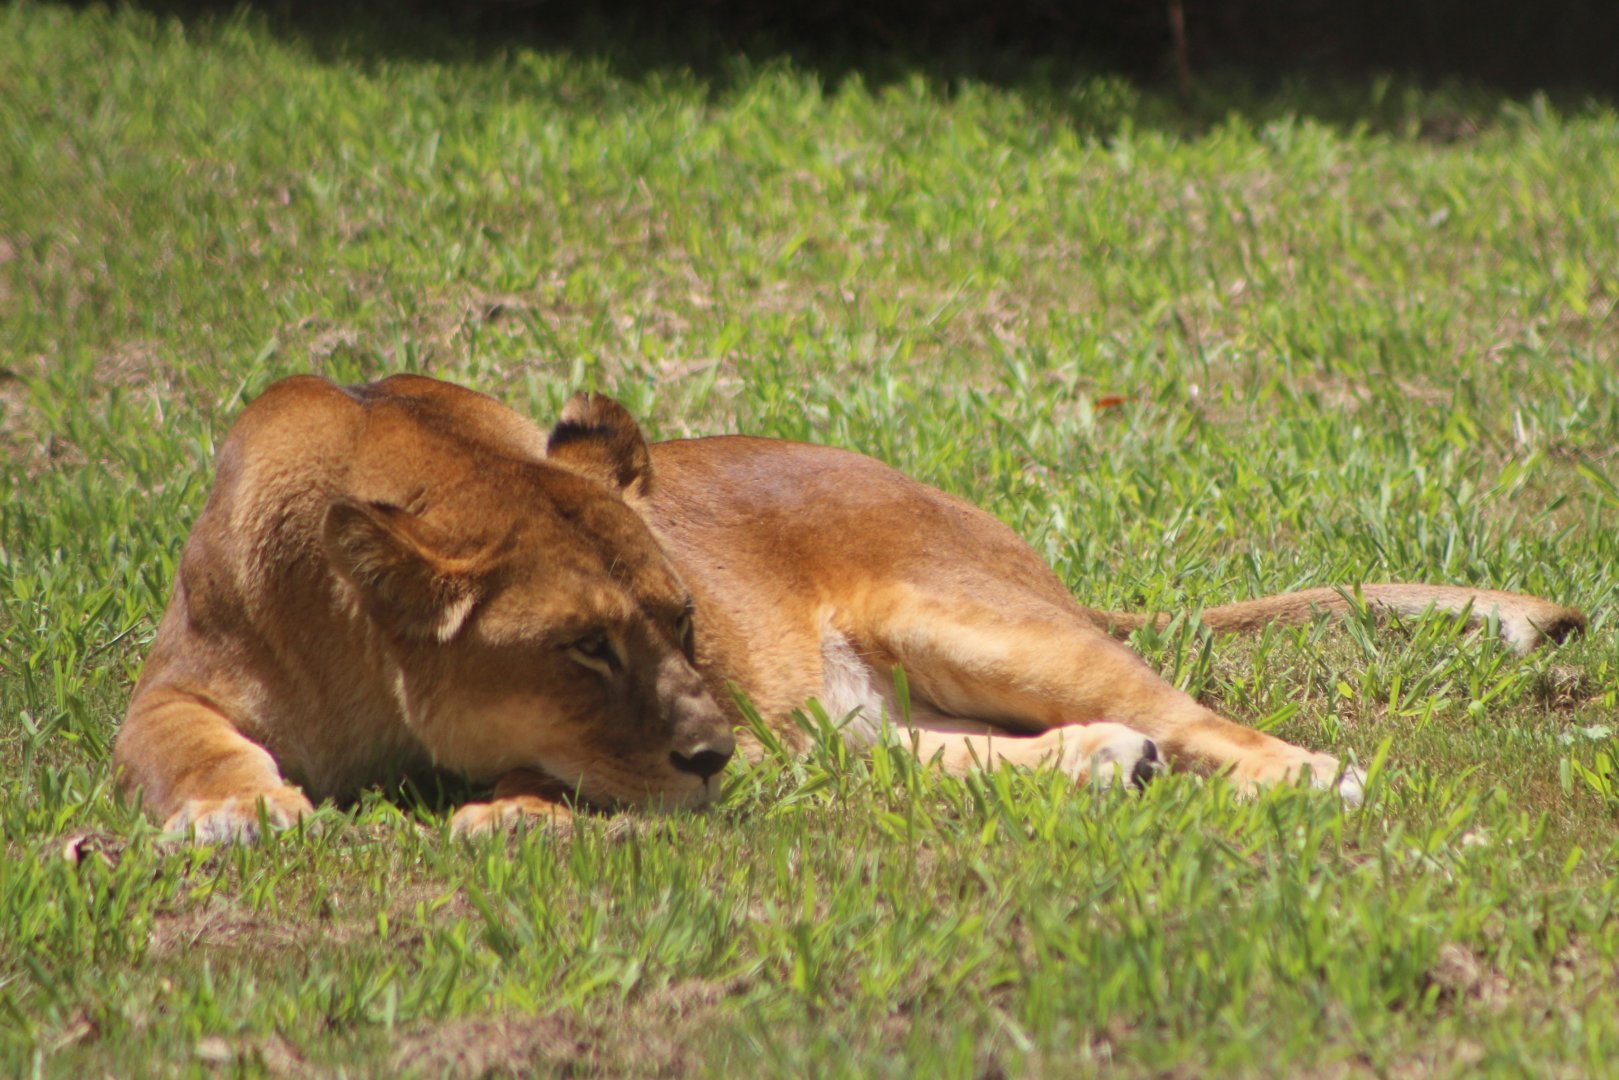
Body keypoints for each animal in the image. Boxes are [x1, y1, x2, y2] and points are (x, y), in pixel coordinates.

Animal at [115, 374, 1586, 838]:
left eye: (683, 622)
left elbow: (559, 789)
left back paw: (1305, 778)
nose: (712, 749)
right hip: (856, 717)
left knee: (1202, 717)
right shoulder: (174, 677)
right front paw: (236, 812)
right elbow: (175, 739)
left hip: (969, 622)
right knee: (929, 756)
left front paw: (506, 815)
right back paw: (1103, 763)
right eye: (583, 648)